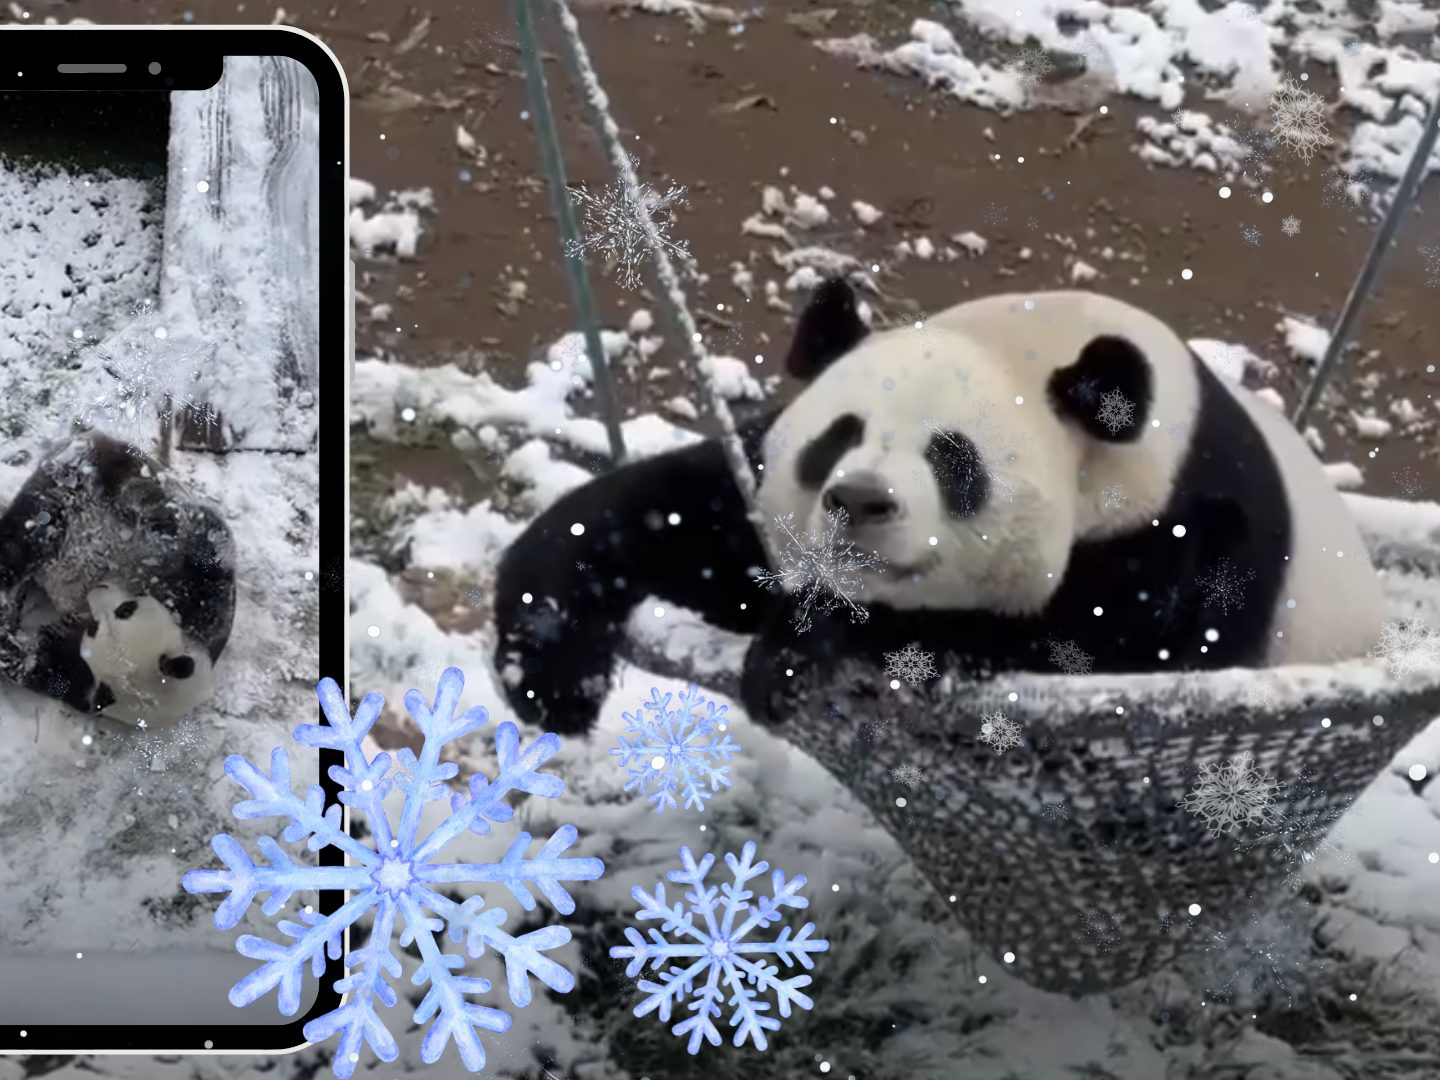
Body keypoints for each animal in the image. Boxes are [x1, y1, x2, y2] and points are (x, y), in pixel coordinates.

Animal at [0, 433, 235, 725]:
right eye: (127, 609)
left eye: (94, 627)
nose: (97, 589)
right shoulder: (206, 592)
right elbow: (211, 541)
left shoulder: (78, 674)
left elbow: (36, 666)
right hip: (71, 489)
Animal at [493, 279, 1387, 734]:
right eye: (838, 439)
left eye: (953, 461)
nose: (859, 501)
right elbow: (686, 521)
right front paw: (550, 670)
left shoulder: (1187, 539)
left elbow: (1090, 647)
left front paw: (804, 645)